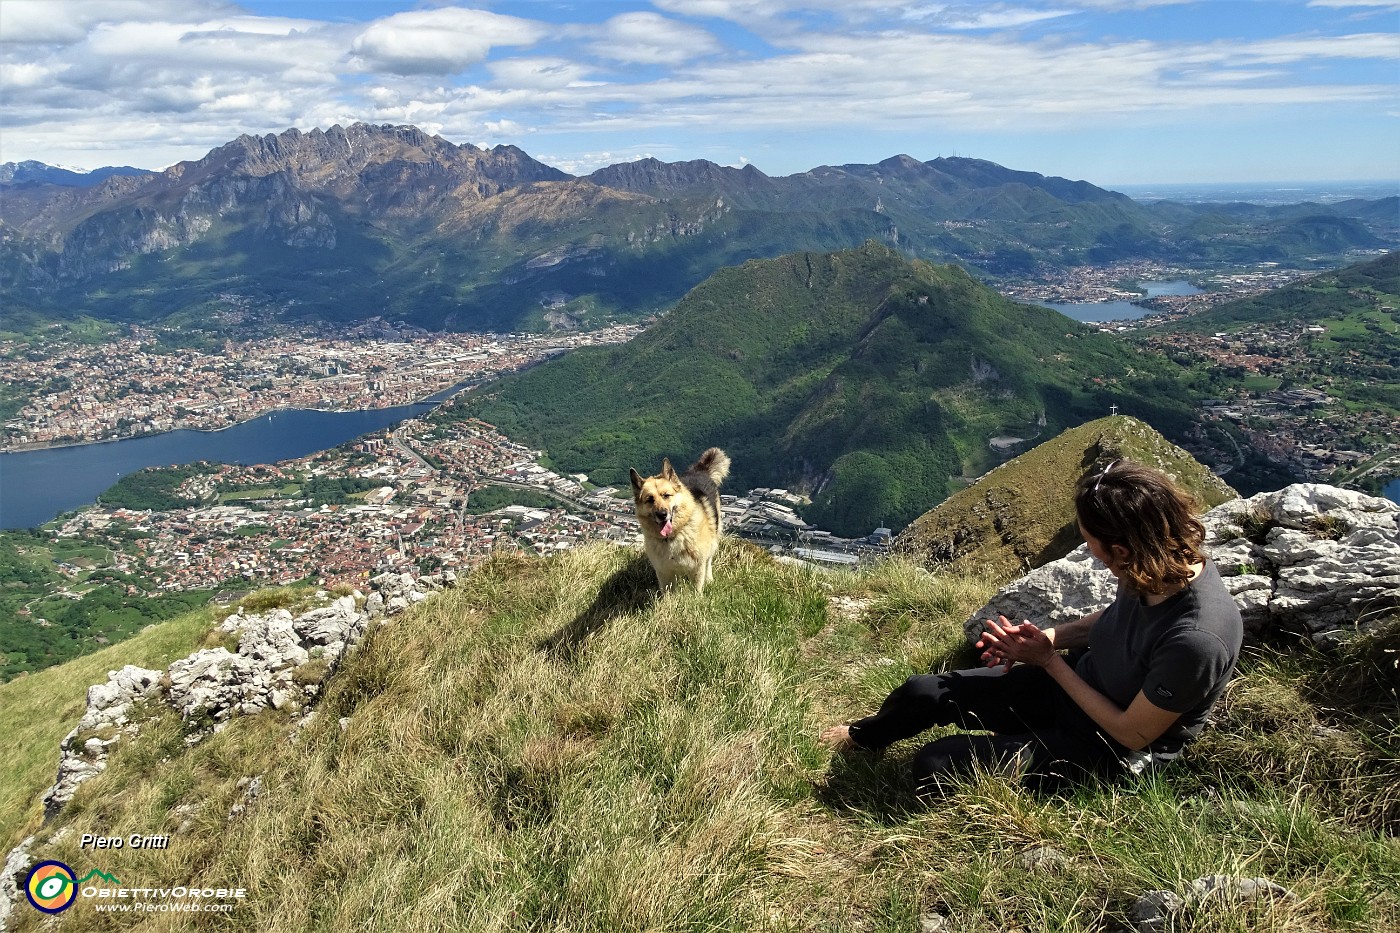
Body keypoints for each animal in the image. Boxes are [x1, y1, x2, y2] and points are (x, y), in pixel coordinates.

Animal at [627, 448, 728, 591]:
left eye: (666, 495)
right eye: (650, 500)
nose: (662, 514)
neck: (674, 535)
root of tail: (699, 471)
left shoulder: (697, 569)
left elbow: (696, 591)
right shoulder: (664, 573)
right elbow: (668, 592)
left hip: (714, 536)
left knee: (709, 561)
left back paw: (709, 579)